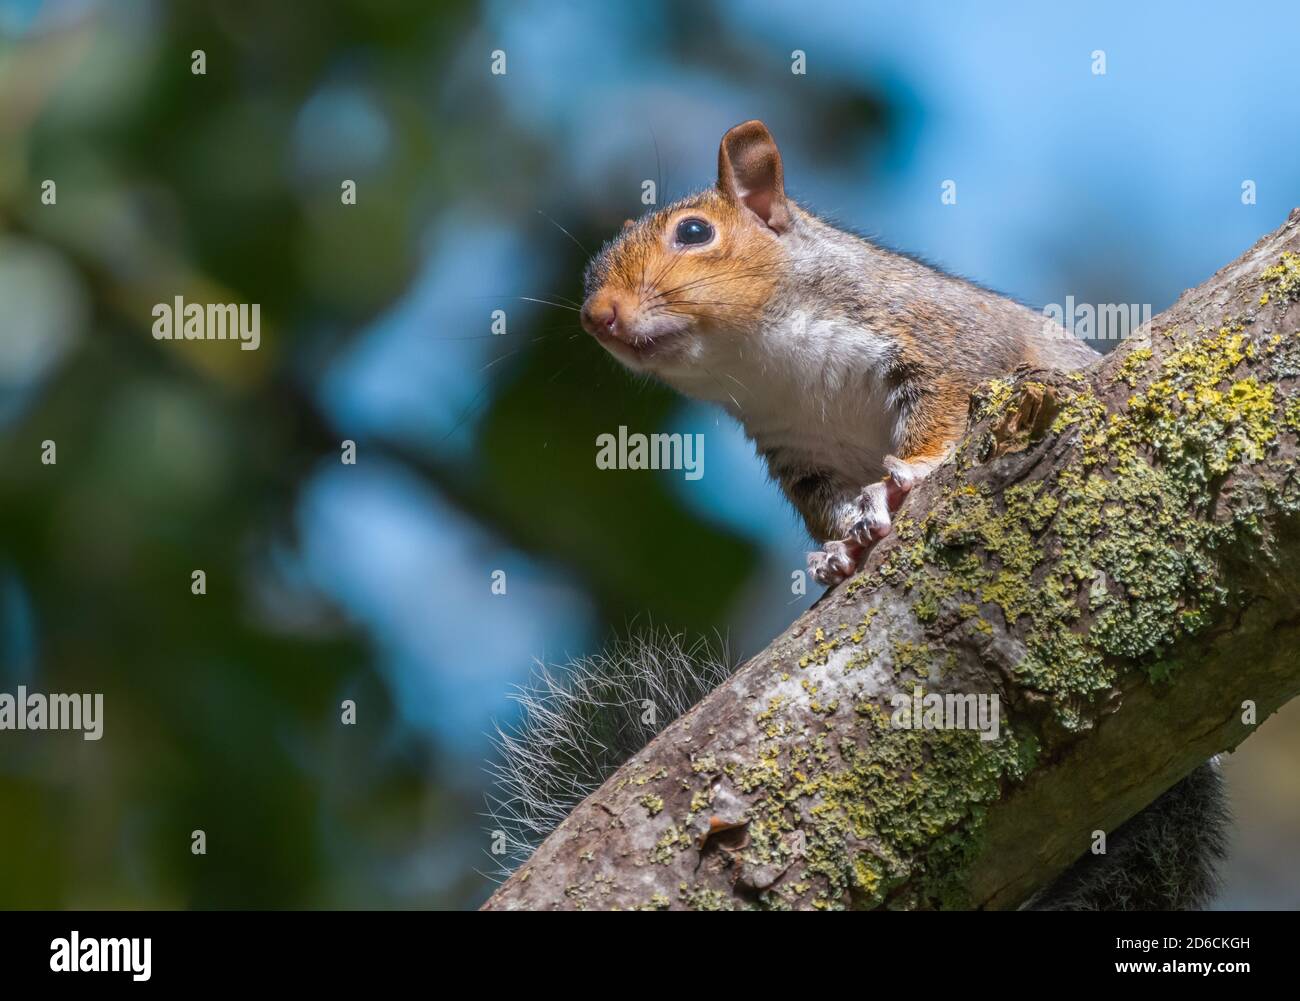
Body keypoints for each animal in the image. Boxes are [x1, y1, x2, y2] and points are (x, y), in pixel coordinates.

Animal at [488, 120, 1227, 909]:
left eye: (693, 231)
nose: (598, 317)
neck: (768, 360)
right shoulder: (799, 454)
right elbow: (831, 509)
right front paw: (843, 548)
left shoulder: (941, 343)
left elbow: (944, 412)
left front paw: (907, 479)